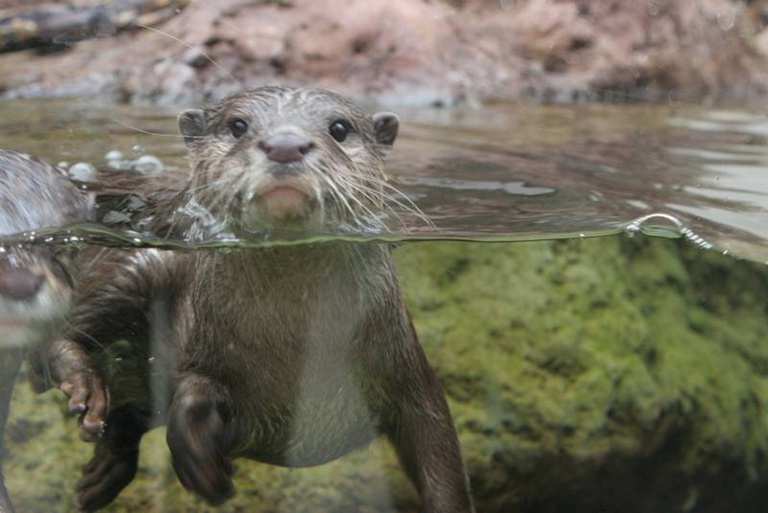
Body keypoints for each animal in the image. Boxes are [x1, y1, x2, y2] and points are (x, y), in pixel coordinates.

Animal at [52, 86, 474, 512]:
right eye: (238, 126)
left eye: (339, 128)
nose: (285, 145)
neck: (300, 349)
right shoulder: (203, 342)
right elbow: (191, 389)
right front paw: (200, 462)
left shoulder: (407, 371)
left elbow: (438, 448)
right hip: (138, 266)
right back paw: (85, 387)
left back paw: (102, 475)